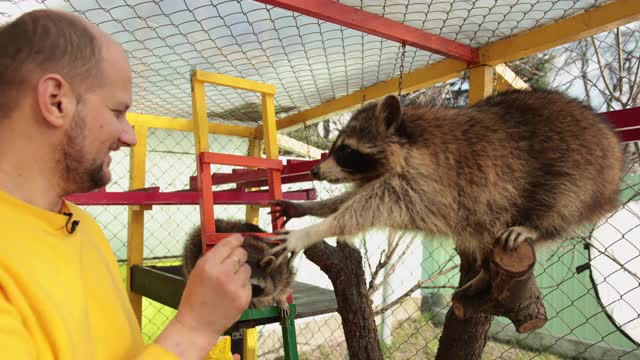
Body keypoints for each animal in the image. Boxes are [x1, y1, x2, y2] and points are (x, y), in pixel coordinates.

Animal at [268, 89, 624, 296]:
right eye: (336, 148)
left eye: (345, 152)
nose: (314, 171)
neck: (408, 141)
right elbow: (349, 200)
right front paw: (311, 209)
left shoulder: (431, 184)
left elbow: (370, 208)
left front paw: (314, 230)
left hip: (579, 172)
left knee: (560, 206)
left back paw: (535, 228)